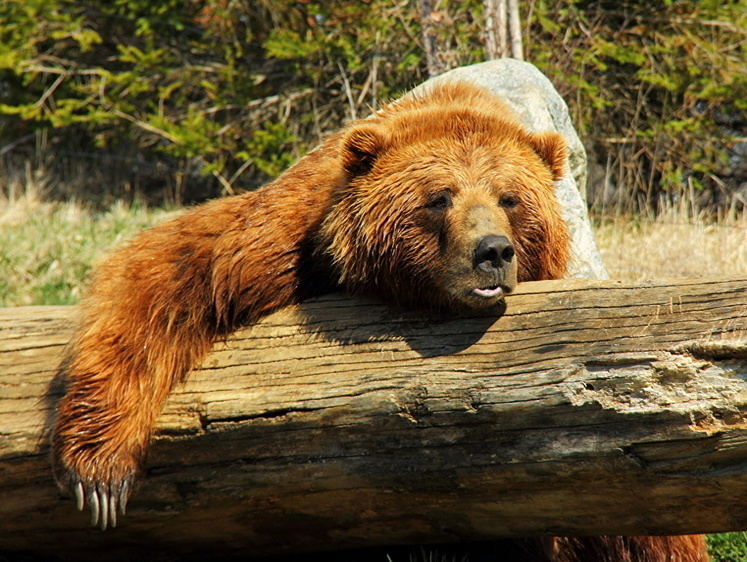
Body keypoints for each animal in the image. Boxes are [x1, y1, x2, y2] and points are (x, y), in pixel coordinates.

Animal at [51, 81, 708, 556]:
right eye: (439, 196)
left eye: (510, 197)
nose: (492, 252)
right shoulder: (273, 249)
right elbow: (165, 274)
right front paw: (99, 476)